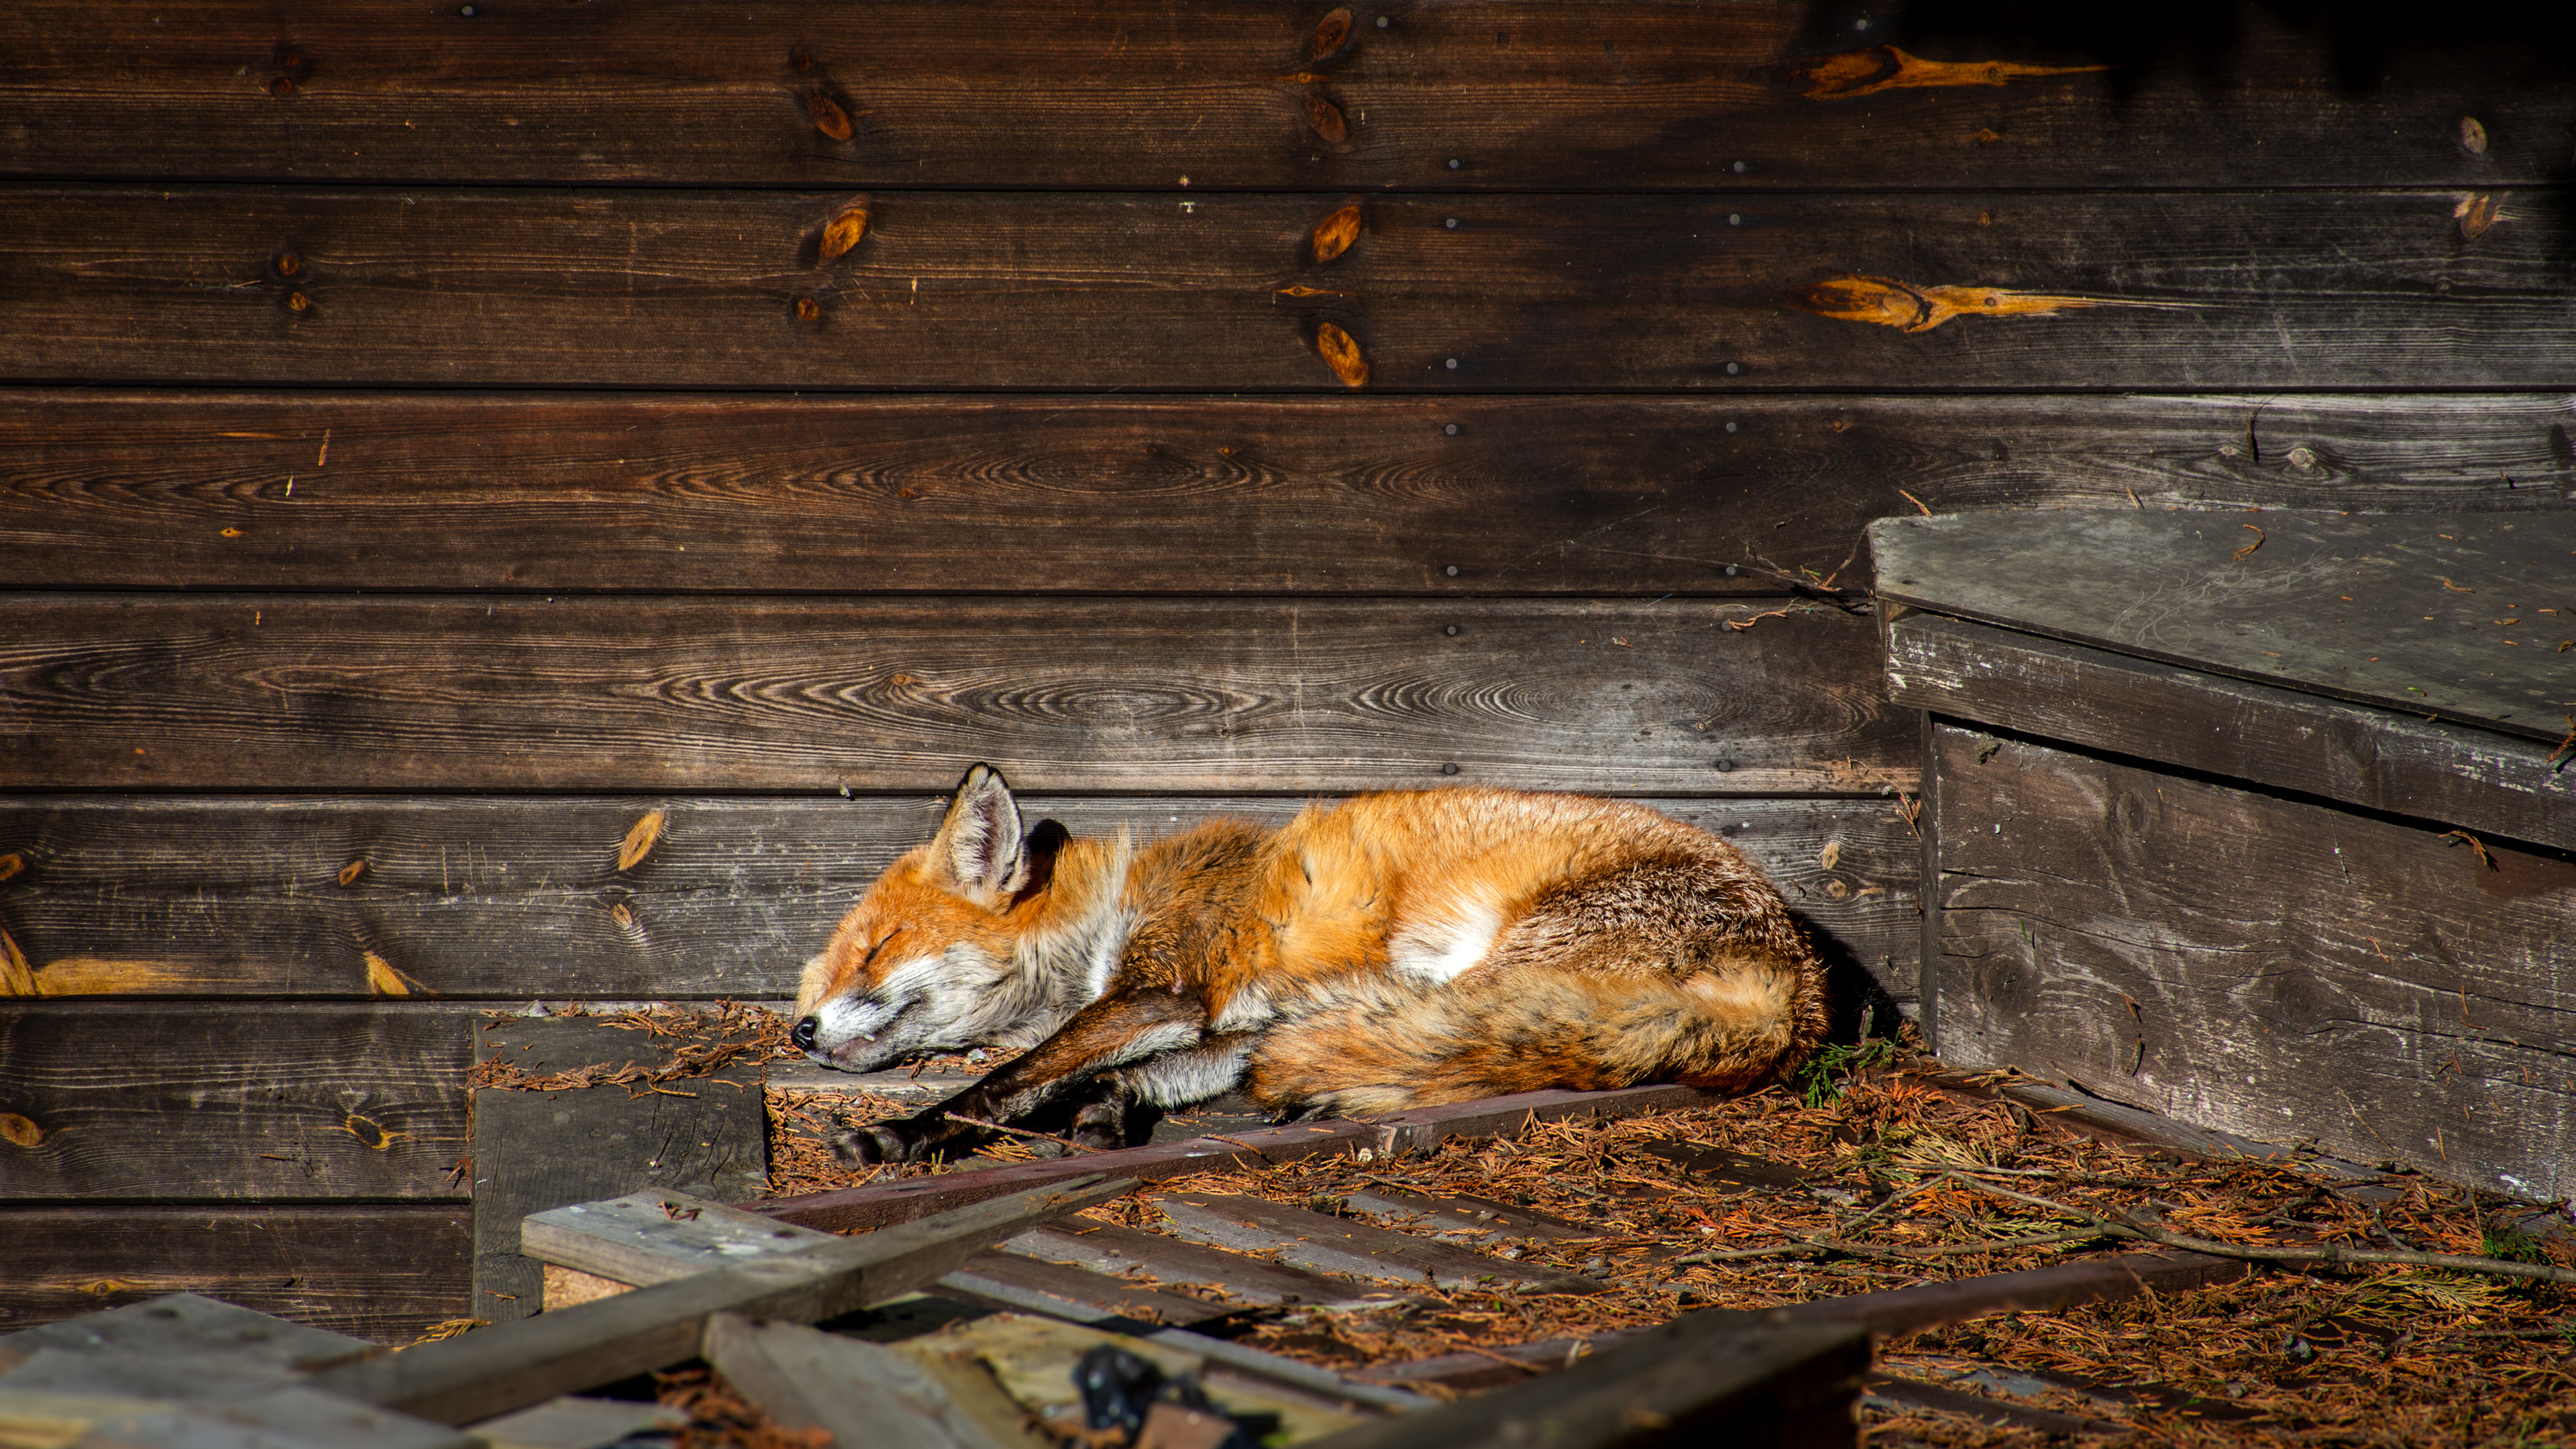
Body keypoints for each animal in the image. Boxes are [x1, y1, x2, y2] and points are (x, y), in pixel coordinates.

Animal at [792, 765, 1829, 1166]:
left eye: (875, 949)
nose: (800, 1029)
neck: (1116, 902)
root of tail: (1799, 984)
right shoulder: (1225, 1015)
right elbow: (1144, 1069)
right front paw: (1113, 1104)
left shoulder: (1162, 986)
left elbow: (1011, 1076)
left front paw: (905, 1136)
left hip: (1490, 970)